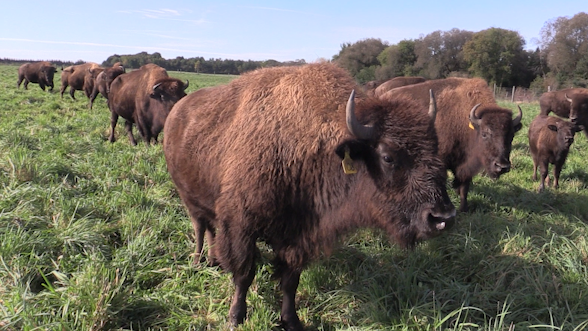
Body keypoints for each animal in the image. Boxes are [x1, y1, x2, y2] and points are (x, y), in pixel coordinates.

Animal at [163, 63, 458, 331]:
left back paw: (214, 260)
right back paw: (199, 261)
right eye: (388, 157)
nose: (442, 217)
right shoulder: (240, 226)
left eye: (436, 151)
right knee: (200, 228)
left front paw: (292, 321)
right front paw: (236, 317)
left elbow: (290, 280)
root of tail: (178, 111)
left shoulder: (299, 236)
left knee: (210, 229)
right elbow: (244, 274)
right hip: (189, 199)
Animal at [384, 77, 520, 213]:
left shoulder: (465, 166)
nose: (502, 166)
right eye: (484, 134)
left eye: (512, 136)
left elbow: (464, 187)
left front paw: (463, 208)